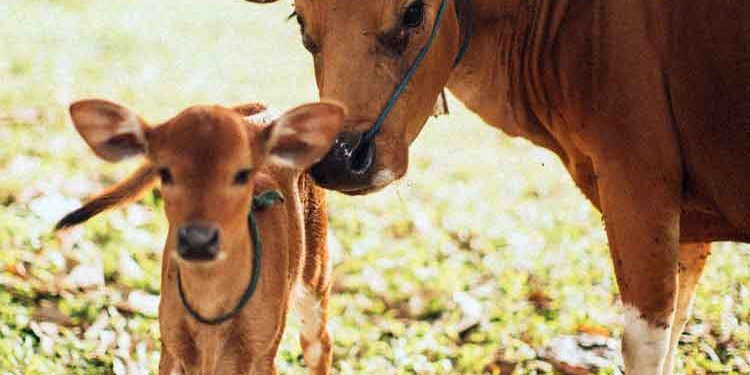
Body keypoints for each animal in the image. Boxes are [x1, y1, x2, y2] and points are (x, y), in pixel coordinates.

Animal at [57, 98, 346, 374]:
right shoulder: (170, 343)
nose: (198, 239)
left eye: (243, 173)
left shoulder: (263, 352)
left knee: (319, 343)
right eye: (165, 172)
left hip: (316, 275)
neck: (210, 312)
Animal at [247, 1, 750, 374]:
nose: (339, 160)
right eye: (300, 20)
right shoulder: (687, 221)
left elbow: (644, 344)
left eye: (413, 11)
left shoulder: (637, 184)